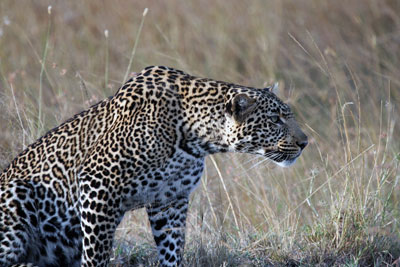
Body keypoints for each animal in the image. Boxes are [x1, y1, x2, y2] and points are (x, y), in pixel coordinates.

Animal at [0, 66, 308, 266]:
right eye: (276, 120)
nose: (305, 142)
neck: (194, 139)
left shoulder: (170, 200)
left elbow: (172, 249)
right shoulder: (97, 185)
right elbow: (97, 252)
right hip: (17, 195)